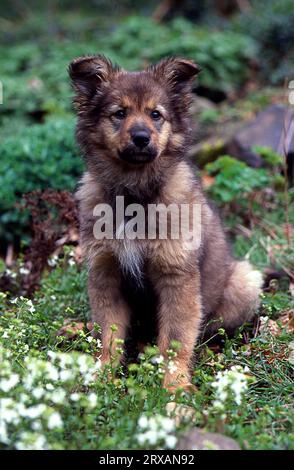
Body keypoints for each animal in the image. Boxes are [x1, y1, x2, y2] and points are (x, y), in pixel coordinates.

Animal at [69, 55, 264, 392]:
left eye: (156, 114)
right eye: (119, 113)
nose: (141, 138)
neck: (133, 196)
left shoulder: (176, 276)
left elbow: (175, 339)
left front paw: (174, 388)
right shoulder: (106, 273)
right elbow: (109, 336)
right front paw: (104, 377)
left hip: (245, 281)